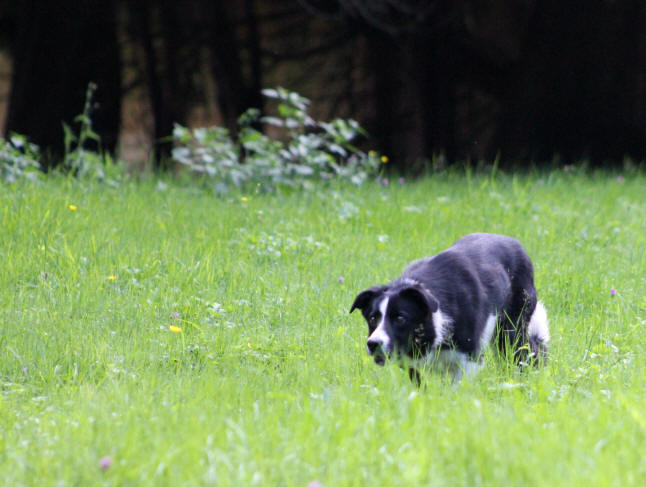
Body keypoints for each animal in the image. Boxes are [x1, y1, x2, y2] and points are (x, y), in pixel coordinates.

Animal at [352, 234, 548, 384]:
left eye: (400, 318)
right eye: (372, 318)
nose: (373, 344)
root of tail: (516, 243)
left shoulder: (470, 358)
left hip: (511, 331)